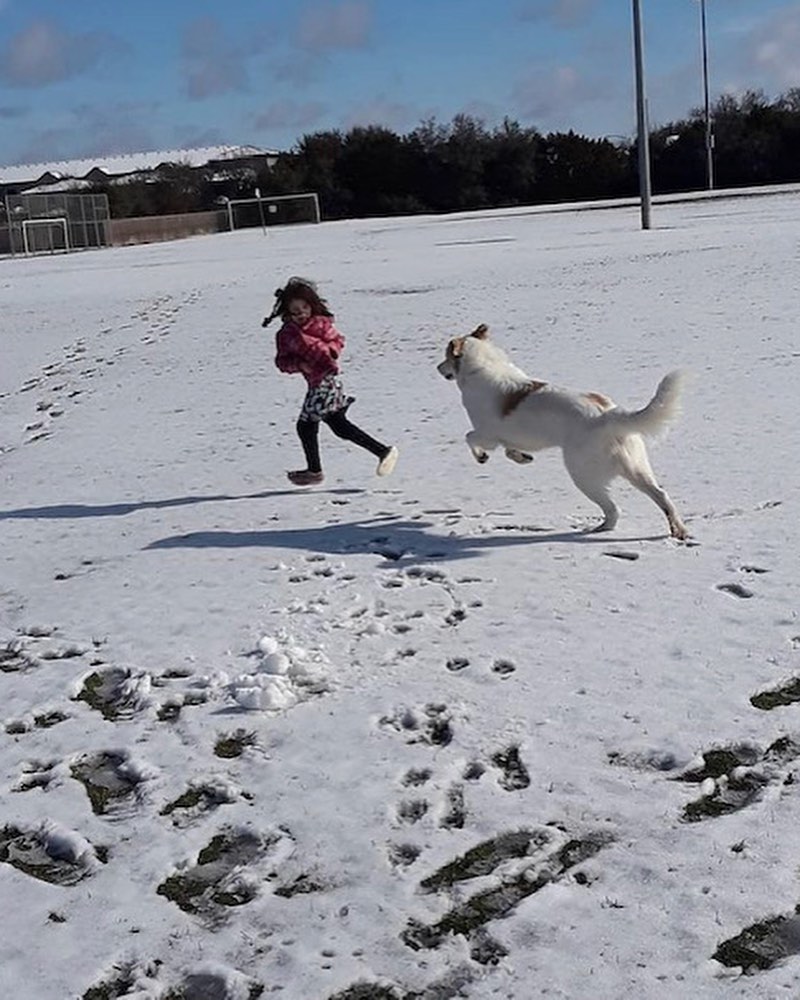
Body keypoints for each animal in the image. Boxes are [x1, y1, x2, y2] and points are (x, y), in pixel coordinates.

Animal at [438, 324, 688, 536]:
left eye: (446, 356)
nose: (438, 367)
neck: (483, 365)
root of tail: (606, 415)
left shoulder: (488, 435)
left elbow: (470, 438)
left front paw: (482, 457)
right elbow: (510, 450)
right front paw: (522, 457)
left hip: (583, 475)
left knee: (613, 509)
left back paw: (599, 529)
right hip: (636, 469)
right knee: (660, 496)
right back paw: (678, 530)